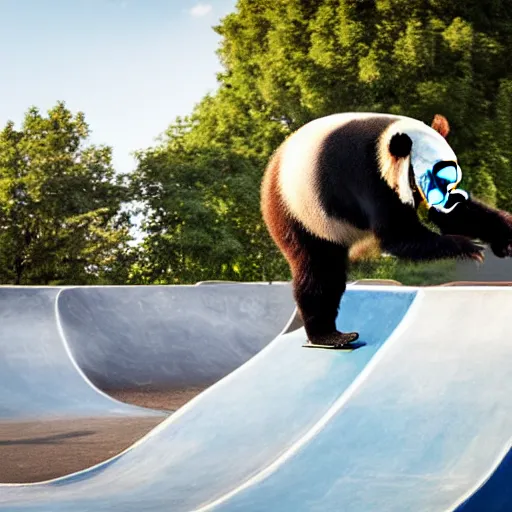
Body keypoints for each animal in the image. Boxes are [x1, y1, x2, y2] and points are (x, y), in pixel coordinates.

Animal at [262, 112, 512, 348]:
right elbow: (397, 234)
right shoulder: (366, 176)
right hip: (303, 215)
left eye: (451, 178)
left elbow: (457, 217)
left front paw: (503, 239)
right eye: (434, 177)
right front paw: (467, 247)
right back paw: (328, 335)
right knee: (320, 271)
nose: (445, 200)